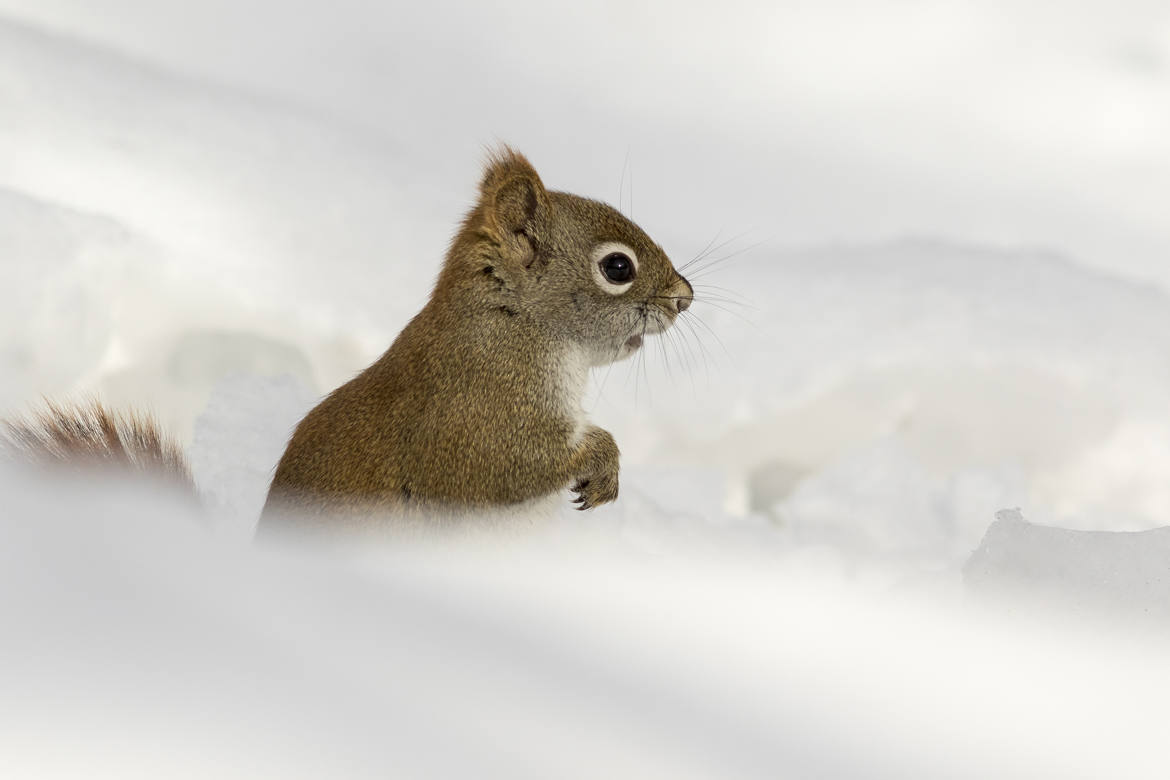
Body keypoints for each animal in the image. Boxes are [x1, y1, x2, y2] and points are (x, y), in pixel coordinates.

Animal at [0, 147, 687, 530]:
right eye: (617, 267)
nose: (684, 298)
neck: (516, 324)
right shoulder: (477, 410)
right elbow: (506, 465)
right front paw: (603, 457)